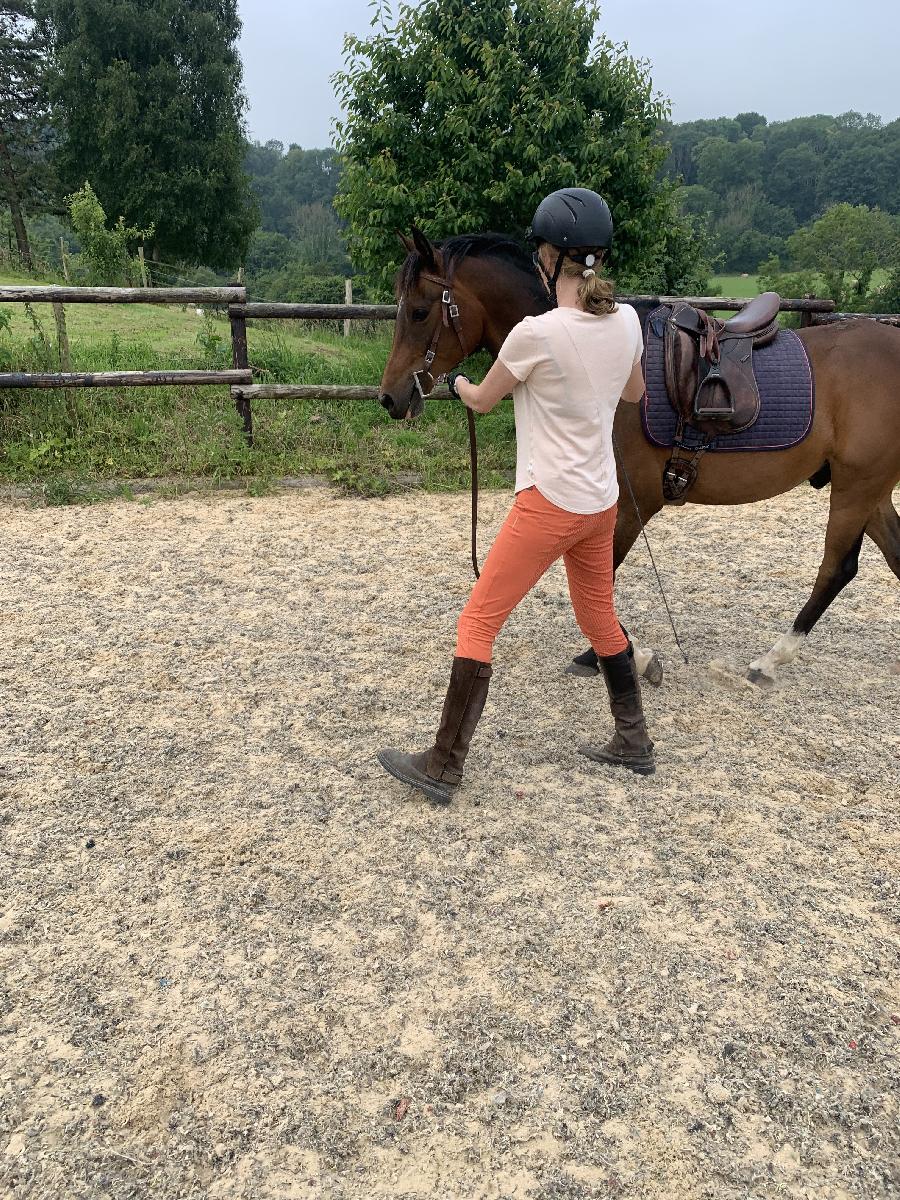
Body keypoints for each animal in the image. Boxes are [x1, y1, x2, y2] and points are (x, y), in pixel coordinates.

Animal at [381, 225, 900, 686]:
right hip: (867, 490)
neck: (582, 349)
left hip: (857, 486)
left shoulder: (629, 505)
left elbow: (597, 585)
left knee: (836, 568)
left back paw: (770, 660)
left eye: (420, 312)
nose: (390, 398)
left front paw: (621, 654)